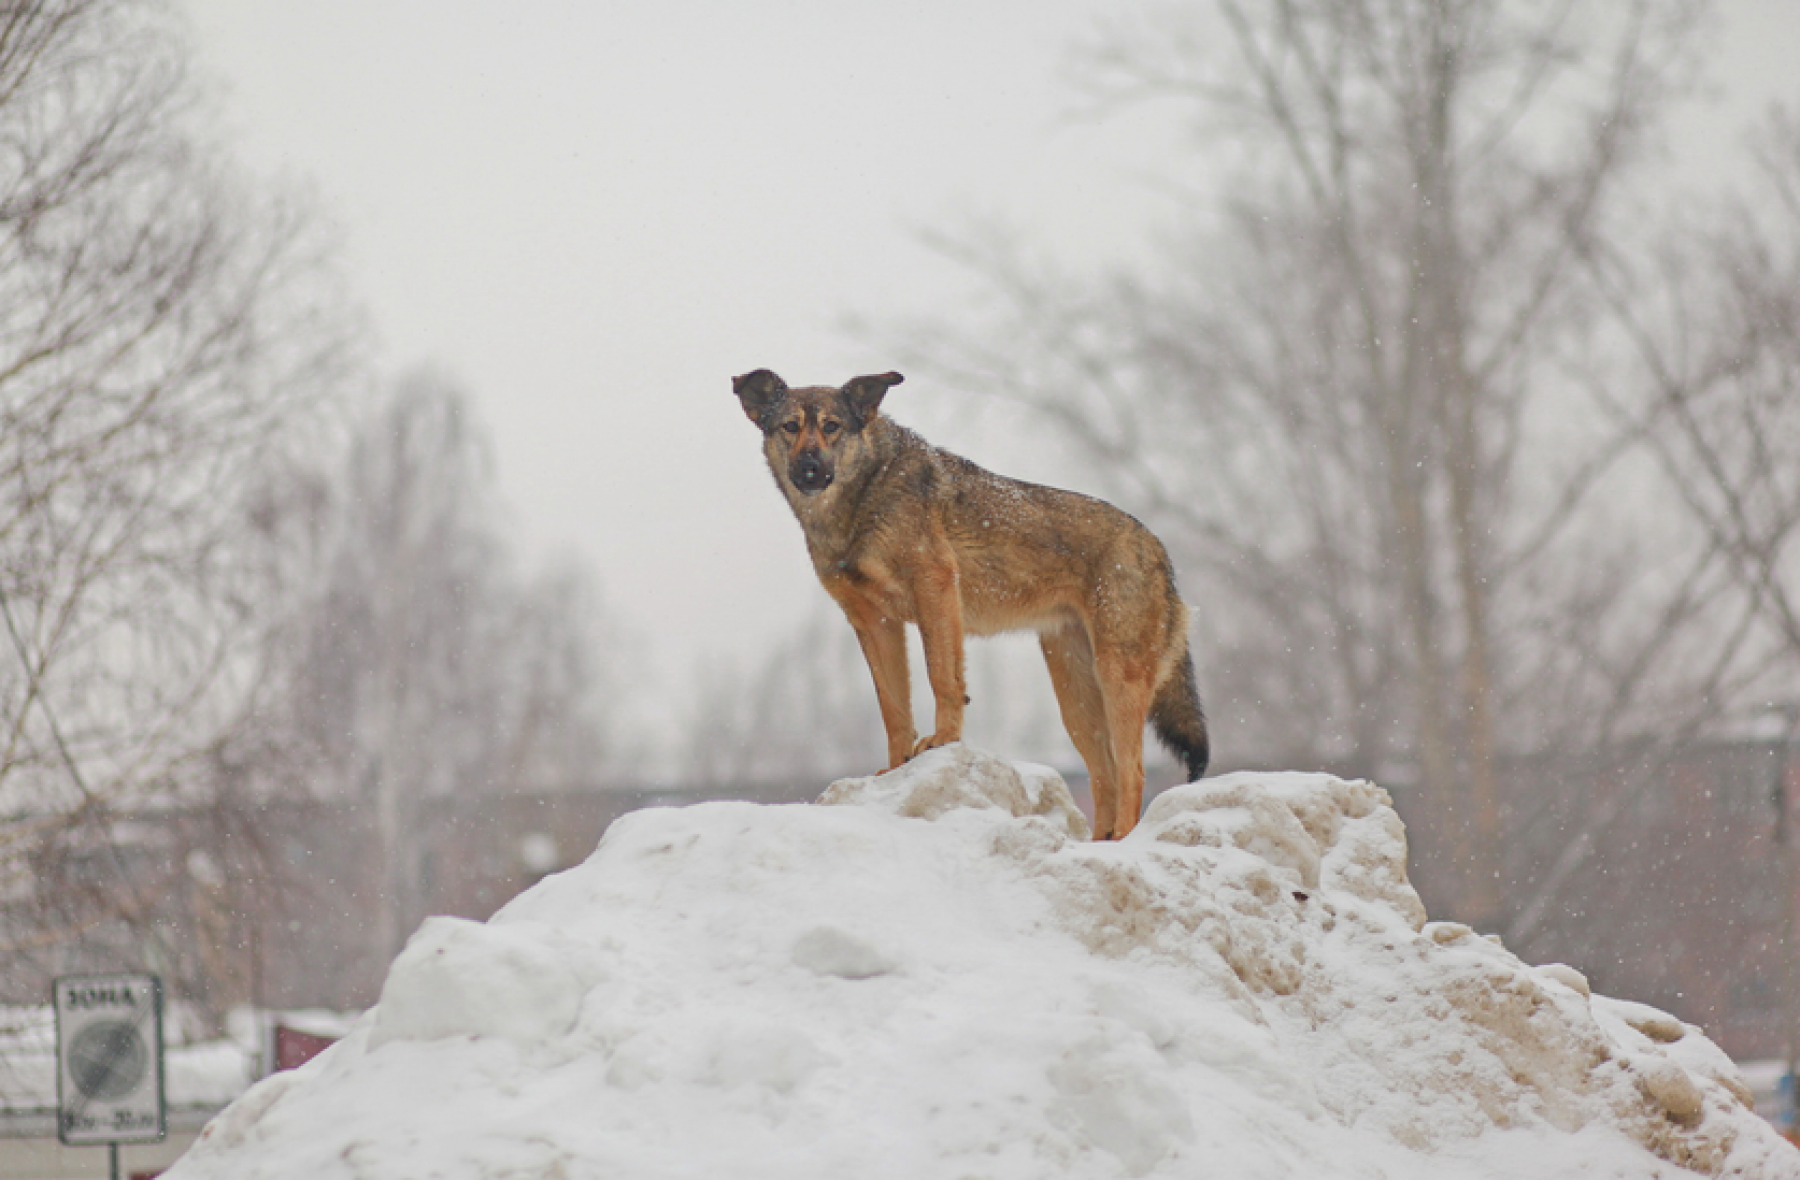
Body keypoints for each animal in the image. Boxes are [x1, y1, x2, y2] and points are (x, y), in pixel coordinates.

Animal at [730, 368, 1209, 838]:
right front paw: (895, 769)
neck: (864, 494)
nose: (810, 468)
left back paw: (1123, 843)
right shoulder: (874, 622)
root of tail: (1158, 549)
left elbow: (942, 677)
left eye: (831, 426)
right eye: (789, 427)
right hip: (1075, 700)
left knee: (1134, 774)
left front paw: (942, 740)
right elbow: (893, 708)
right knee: (1105, 776)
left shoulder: (935, 587)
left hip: (1117, 678)